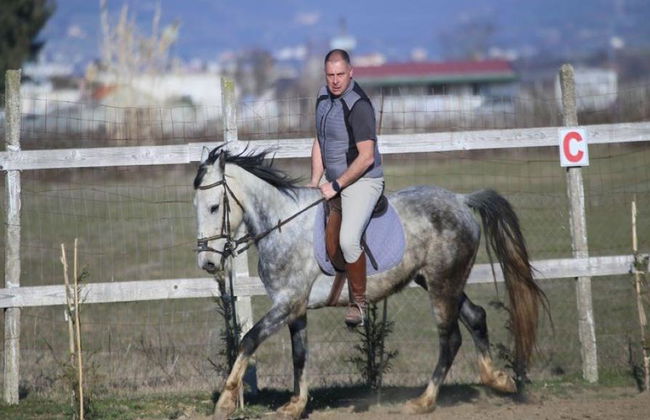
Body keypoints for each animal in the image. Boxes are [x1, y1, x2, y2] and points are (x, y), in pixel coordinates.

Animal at [194, 145, 548, 419]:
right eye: (196, 207)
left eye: (214, 207)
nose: (208, 263)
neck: (284, 225)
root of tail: (461, 200)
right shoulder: (295, 307)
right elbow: (299, 355)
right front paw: (295, 406)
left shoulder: (287, 304)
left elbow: (249, 340)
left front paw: (225, 402)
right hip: (441, 282)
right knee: (475, 318)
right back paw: (498, 379)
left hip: (442, 284)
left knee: (450, 339)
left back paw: (424, 401)